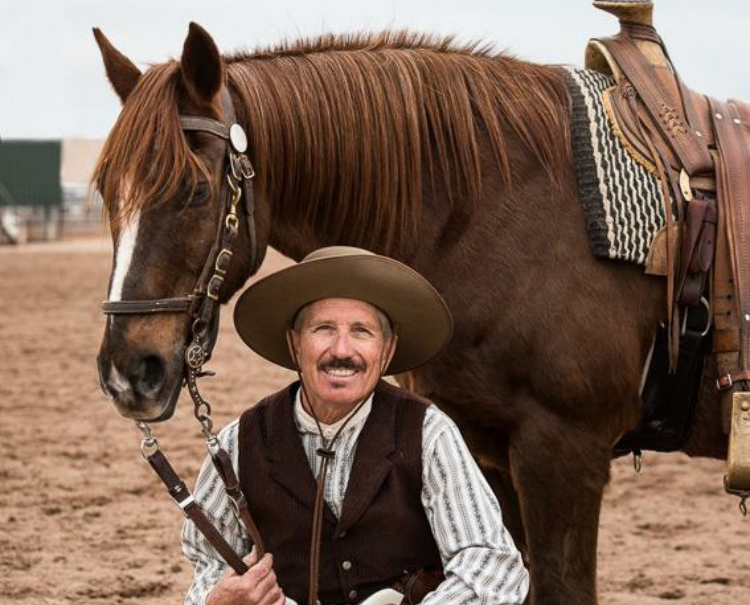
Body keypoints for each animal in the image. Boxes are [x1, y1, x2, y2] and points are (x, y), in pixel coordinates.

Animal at [92, 23, 728, 604]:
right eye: (105, 194)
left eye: (196, 192)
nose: (128, 371)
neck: (493, 215)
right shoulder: (486, 451)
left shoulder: (564, 452)